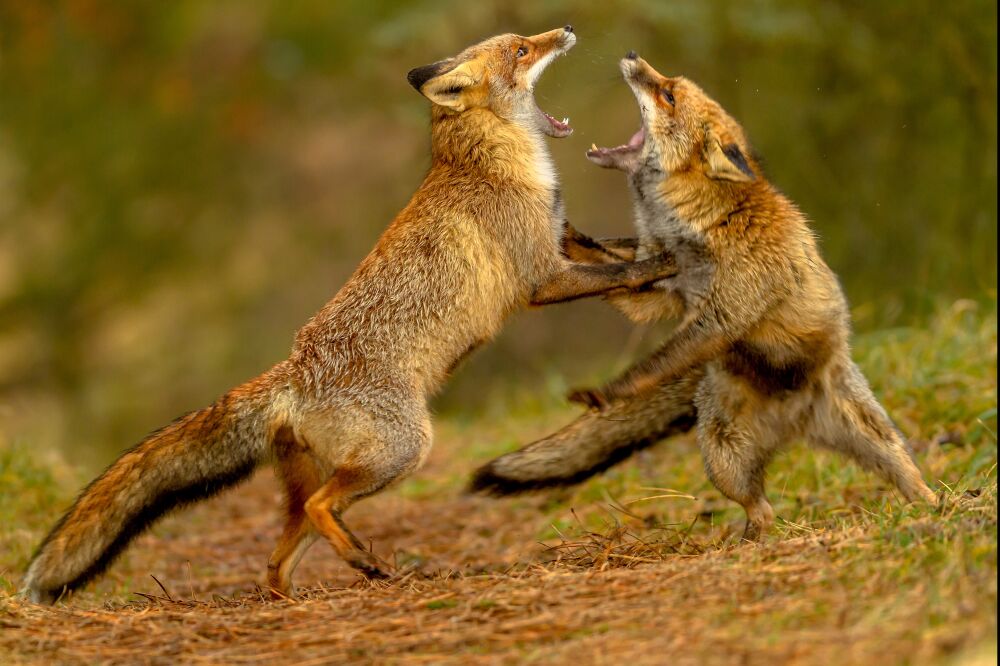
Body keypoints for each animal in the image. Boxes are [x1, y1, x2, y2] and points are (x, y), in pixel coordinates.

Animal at [25, 28, 680, 600]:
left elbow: (613, 250)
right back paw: (366, 564)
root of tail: (292, 371)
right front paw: (665, 263)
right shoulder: (542, 277)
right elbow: (620, 272)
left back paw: (305, 594)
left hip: (327, 479)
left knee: (278, 557)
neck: (488, 161)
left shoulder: (561, 243)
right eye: (522, 49)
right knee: (319, 512)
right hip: (403, 449)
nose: (564, 28)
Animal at [470, 53, 936, 540]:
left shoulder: (727, 313)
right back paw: (753, 539)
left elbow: (655, 362)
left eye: (668, 95)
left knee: (901, 473)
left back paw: (934, 507)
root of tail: (795, 423)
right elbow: (613, 264)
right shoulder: (658, 295)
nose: (633, 56)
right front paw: (566, 232)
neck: (707, 220)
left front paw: (612, 391)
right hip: (723, 456)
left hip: (872, 434)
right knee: (760, 506)